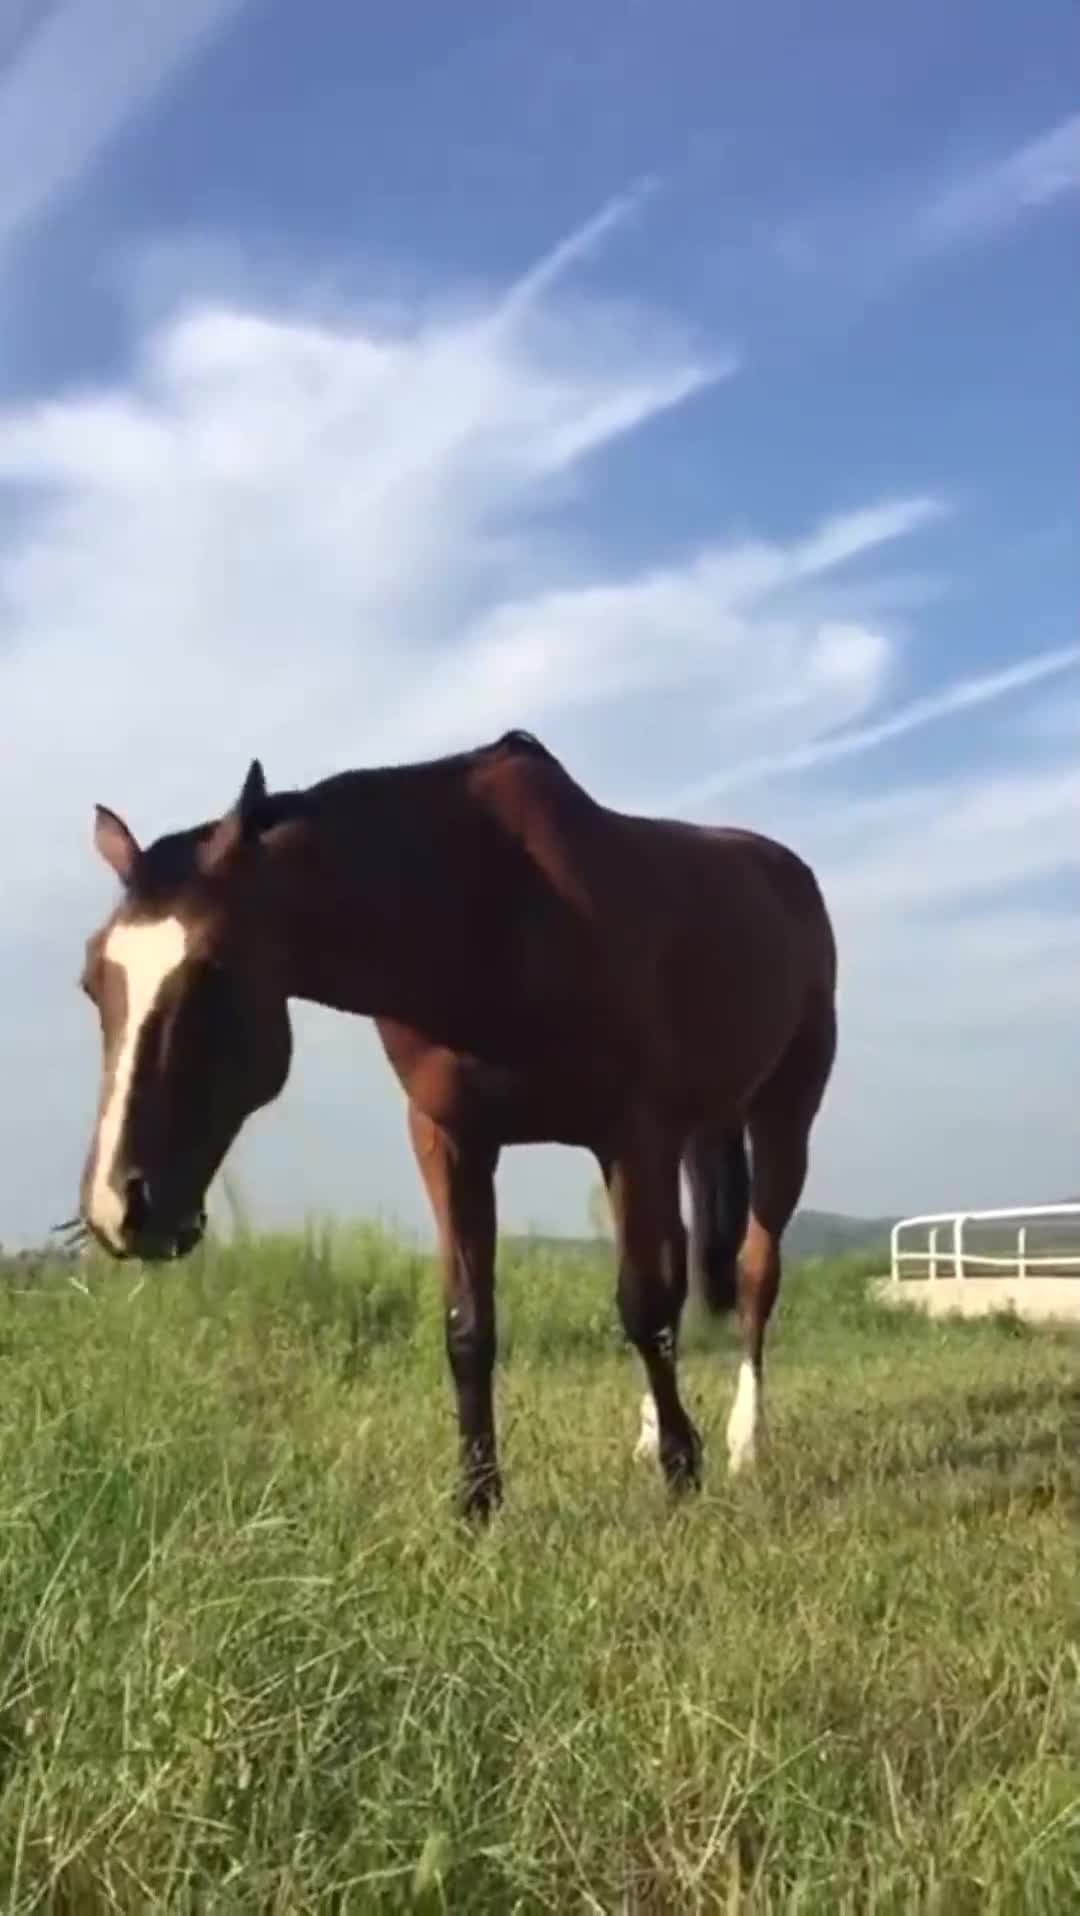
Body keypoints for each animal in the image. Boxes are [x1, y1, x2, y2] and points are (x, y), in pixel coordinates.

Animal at [78, 724, 834, 1517]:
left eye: (213, 972)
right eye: (92, 981)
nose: (118, 1208)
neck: (490, 914)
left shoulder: (630, 1134)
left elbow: (643, 1303)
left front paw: (683, 1472)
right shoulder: (452, 1139)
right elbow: (470, 1323)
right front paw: (476, 1499)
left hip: (782, 1114)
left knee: (755, 1272)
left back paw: (746, 1440)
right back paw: (653, 1427)